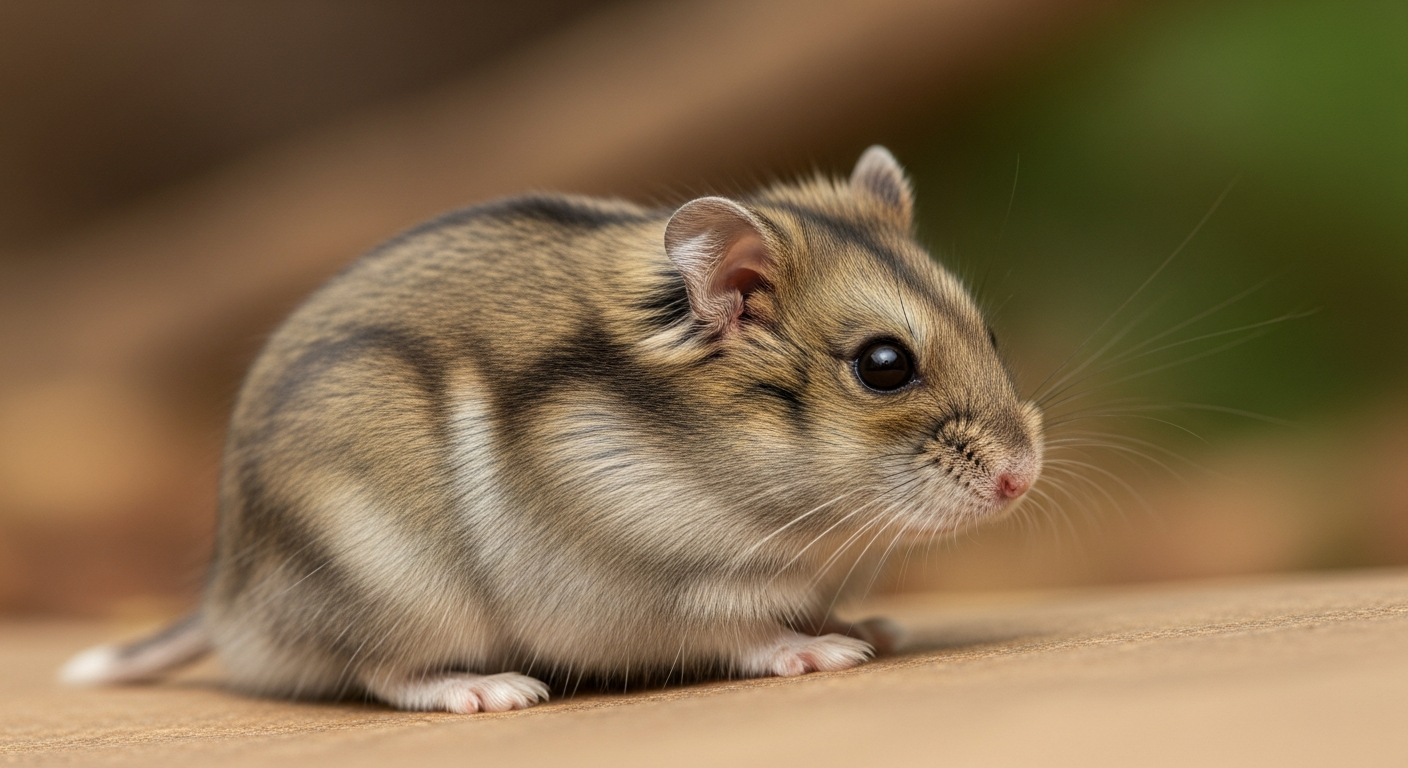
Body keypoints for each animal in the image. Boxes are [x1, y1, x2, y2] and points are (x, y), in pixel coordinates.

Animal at [61, 147, 1043, 713]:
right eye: (884, 365)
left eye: (991, 335)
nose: (1022, 477)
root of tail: (227, 600)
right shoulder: (655, 591)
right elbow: (742, 629)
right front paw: (827, 649)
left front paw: (877, 626)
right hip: (393, 585)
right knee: (379, 671)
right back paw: (491, 689)